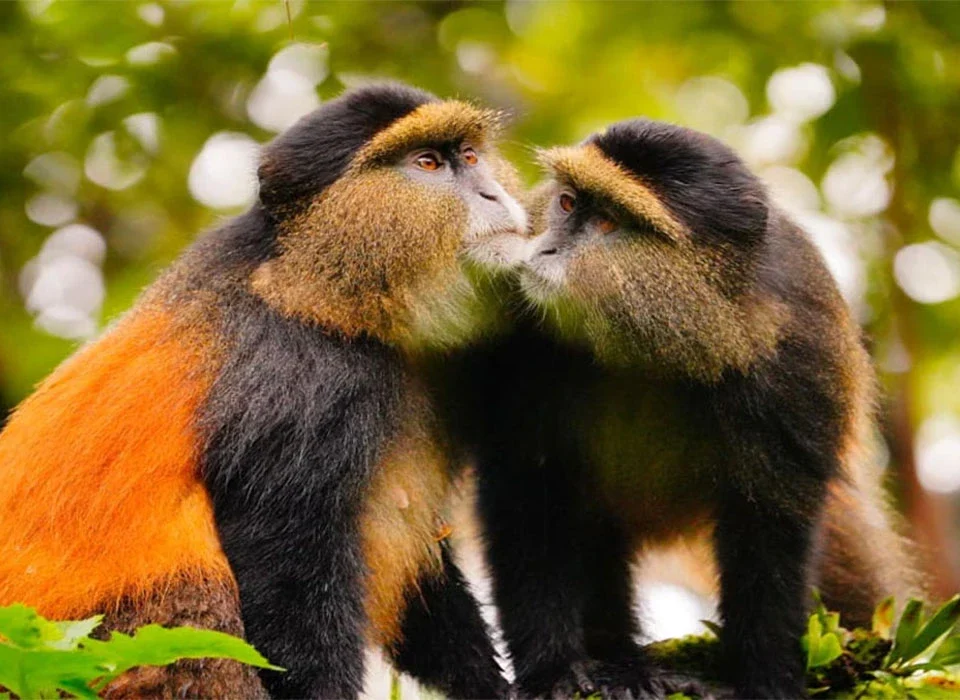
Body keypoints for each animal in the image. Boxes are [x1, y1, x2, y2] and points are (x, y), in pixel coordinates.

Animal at [0, 83, 527, 699]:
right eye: (426, 164)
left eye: (468, 155)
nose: (492, 192)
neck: (315, 290)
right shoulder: (306, 389)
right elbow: (286, 583)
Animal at [436, 119, 921, 699]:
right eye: (568, 202)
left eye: (606, 222)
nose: (544, 249)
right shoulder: (522, 345)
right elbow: (528, 498)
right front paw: (554, 671)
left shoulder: (797, 364)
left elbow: (770, 535)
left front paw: (763, 682)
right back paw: (620, 662)